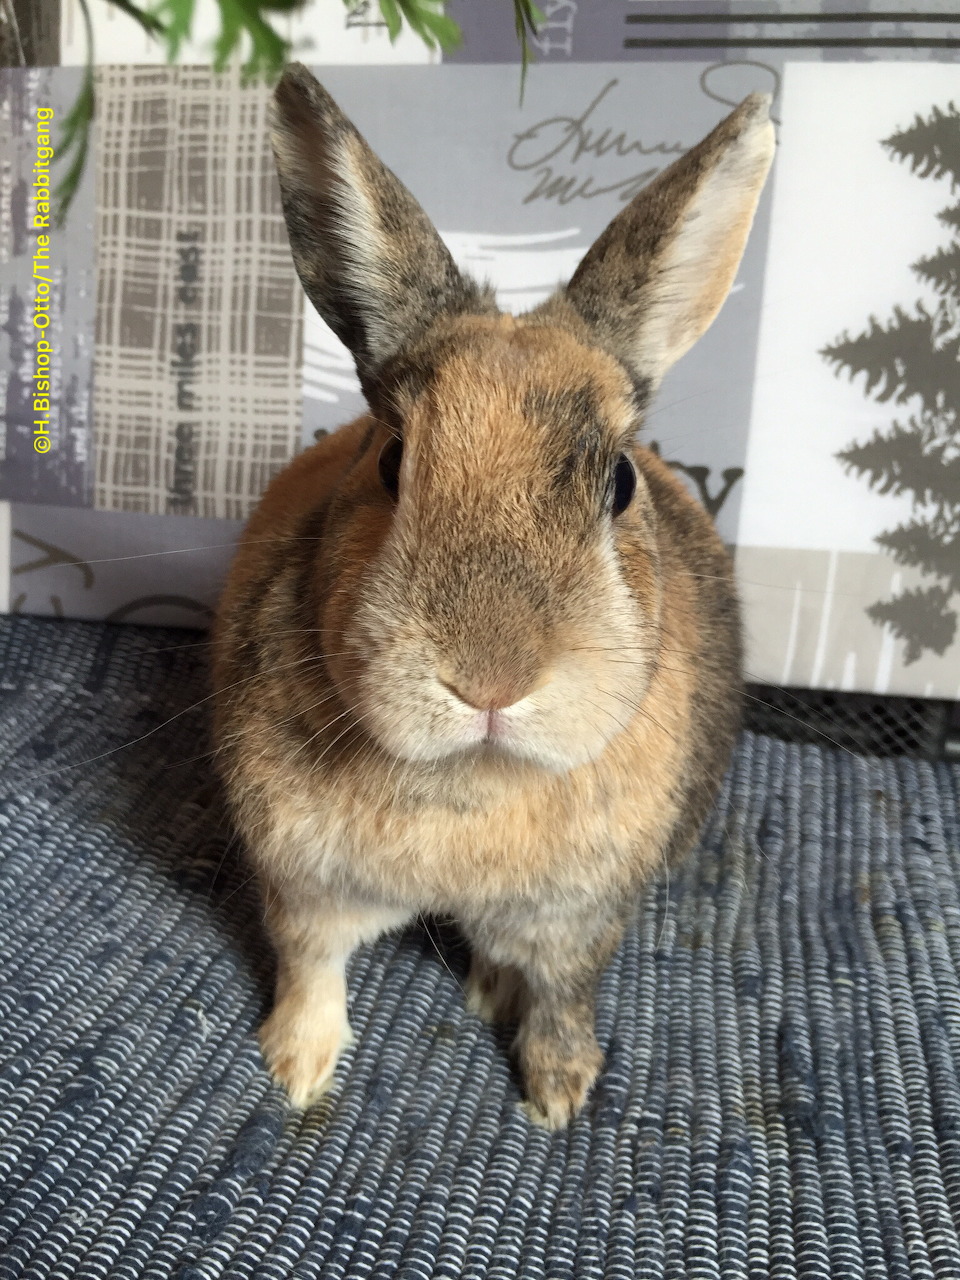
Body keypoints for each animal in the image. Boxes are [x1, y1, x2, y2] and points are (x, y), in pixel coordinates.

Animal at [211, 64, 774, 1129]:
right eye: (390, 459)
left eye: (619, 482)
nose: (490, 680)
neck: (469, 788)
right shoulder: (303, 887)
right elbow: (310, 972)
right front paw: (296, 1073)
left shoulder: (578, 918)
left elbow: (563, 997)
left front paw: (558, 1096)